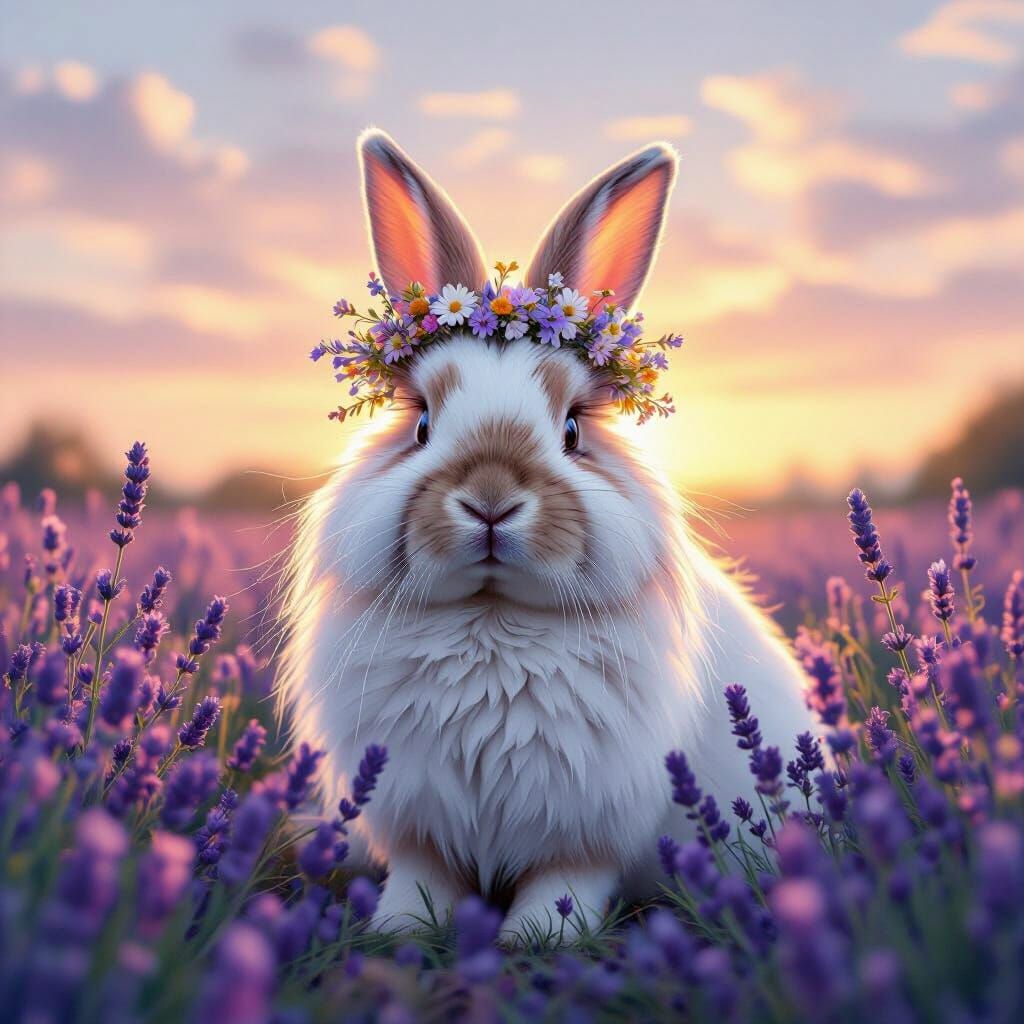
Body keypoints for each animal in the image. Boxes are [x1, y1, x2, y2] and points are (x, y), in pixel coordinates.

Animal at [277, 129, 820, 941]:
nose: (491, 502)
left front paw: (541, 937)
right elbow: (423, 878)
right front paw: (401, 929)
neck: (492, 618)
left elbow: (565, 880)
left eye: (572, 431)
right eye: (422, 424)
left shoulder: (587, 822)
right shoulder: (417, 811)